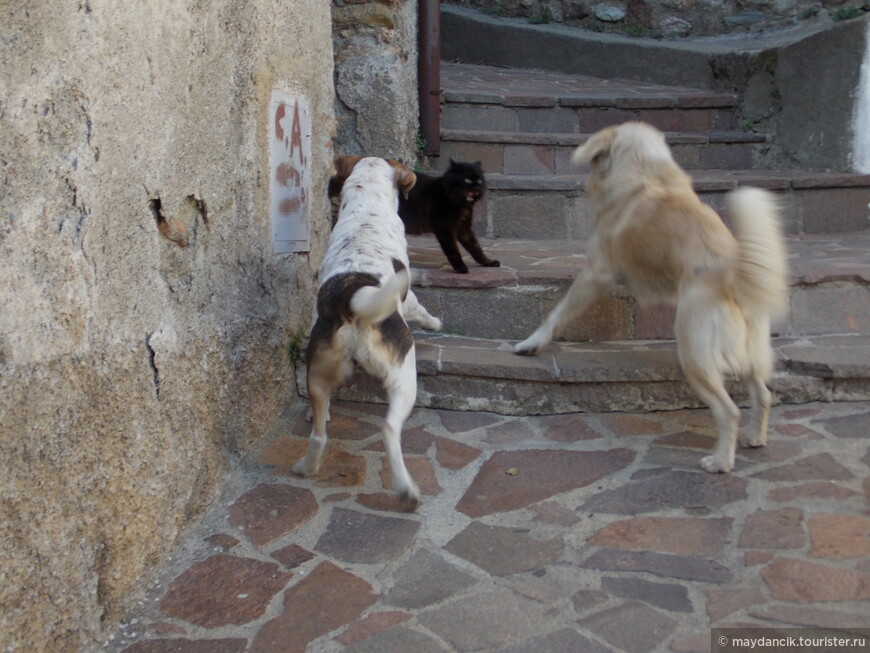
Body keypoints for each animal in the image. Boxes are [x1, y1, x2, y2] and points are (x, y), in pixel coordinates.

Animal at [294, 155, 442, 506]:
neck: (367, 207)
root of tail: (351, 296)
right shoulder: (407, 297)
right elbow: (420, 309)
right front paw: (435, 322)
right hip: (405, 377)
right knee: (389, 429)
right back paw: (406, 489)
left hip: (317, 371)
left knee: (319, 434)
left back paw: (308, 466)